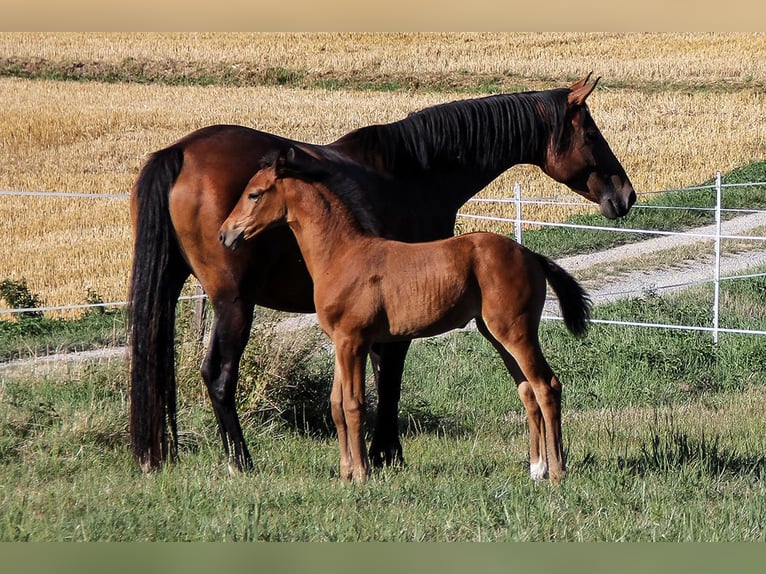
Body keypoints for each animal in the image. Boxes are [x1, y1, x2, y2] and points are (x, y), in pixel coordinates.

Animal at [219, 147, 591, 482]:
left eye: (254, 194)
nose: (225, 234)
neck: (341, 255)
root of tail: (530, 254)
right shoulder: (340, 343)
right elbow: (336, 405)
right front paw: (344, 474)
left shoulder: (353, 341)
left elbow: (354, 405)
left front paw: (362, 474)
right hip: (497, 333)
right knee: (527, 390)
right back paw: (536, 469)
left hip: (515, 331)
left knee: (547, 386)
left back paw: (557, 471)